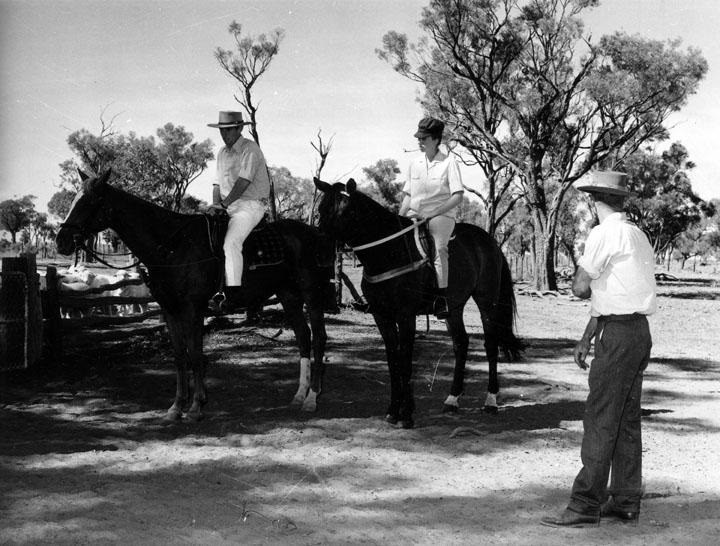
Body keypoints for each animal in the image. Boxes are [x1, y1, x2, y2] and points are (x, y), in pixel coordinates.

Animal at [57, 168, 330, 418]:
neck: (172, 246)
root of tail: (316, 234)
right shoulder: (170, 309)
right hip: (289, 296)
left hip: (312, 295)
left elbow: (196, 354)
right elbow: (180, 356)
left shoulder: (193, 309)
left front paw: (197, 405)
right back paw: (299, 395)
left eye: (90, 201)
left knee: (318, 338)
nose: (61, 241)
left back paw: (312, 399)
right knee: (303, 337)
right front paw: (177, 406)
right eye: (75, 199)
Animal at [312, 176, 520, 428]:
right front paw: (393, 410)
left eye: (347, 211)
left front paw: (407, 414)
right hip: (453, 308)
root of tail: (490, 242)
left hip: (486, 301)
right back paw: (452, 400)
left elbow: (405, 360)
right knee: (461, 344)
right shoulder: (382, 316)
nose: (321, 254)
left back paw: (490, 401)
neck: (389, 252)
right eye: (322, 209)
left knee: (490, 345)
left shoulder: (405, 315)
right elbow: (393, 360)